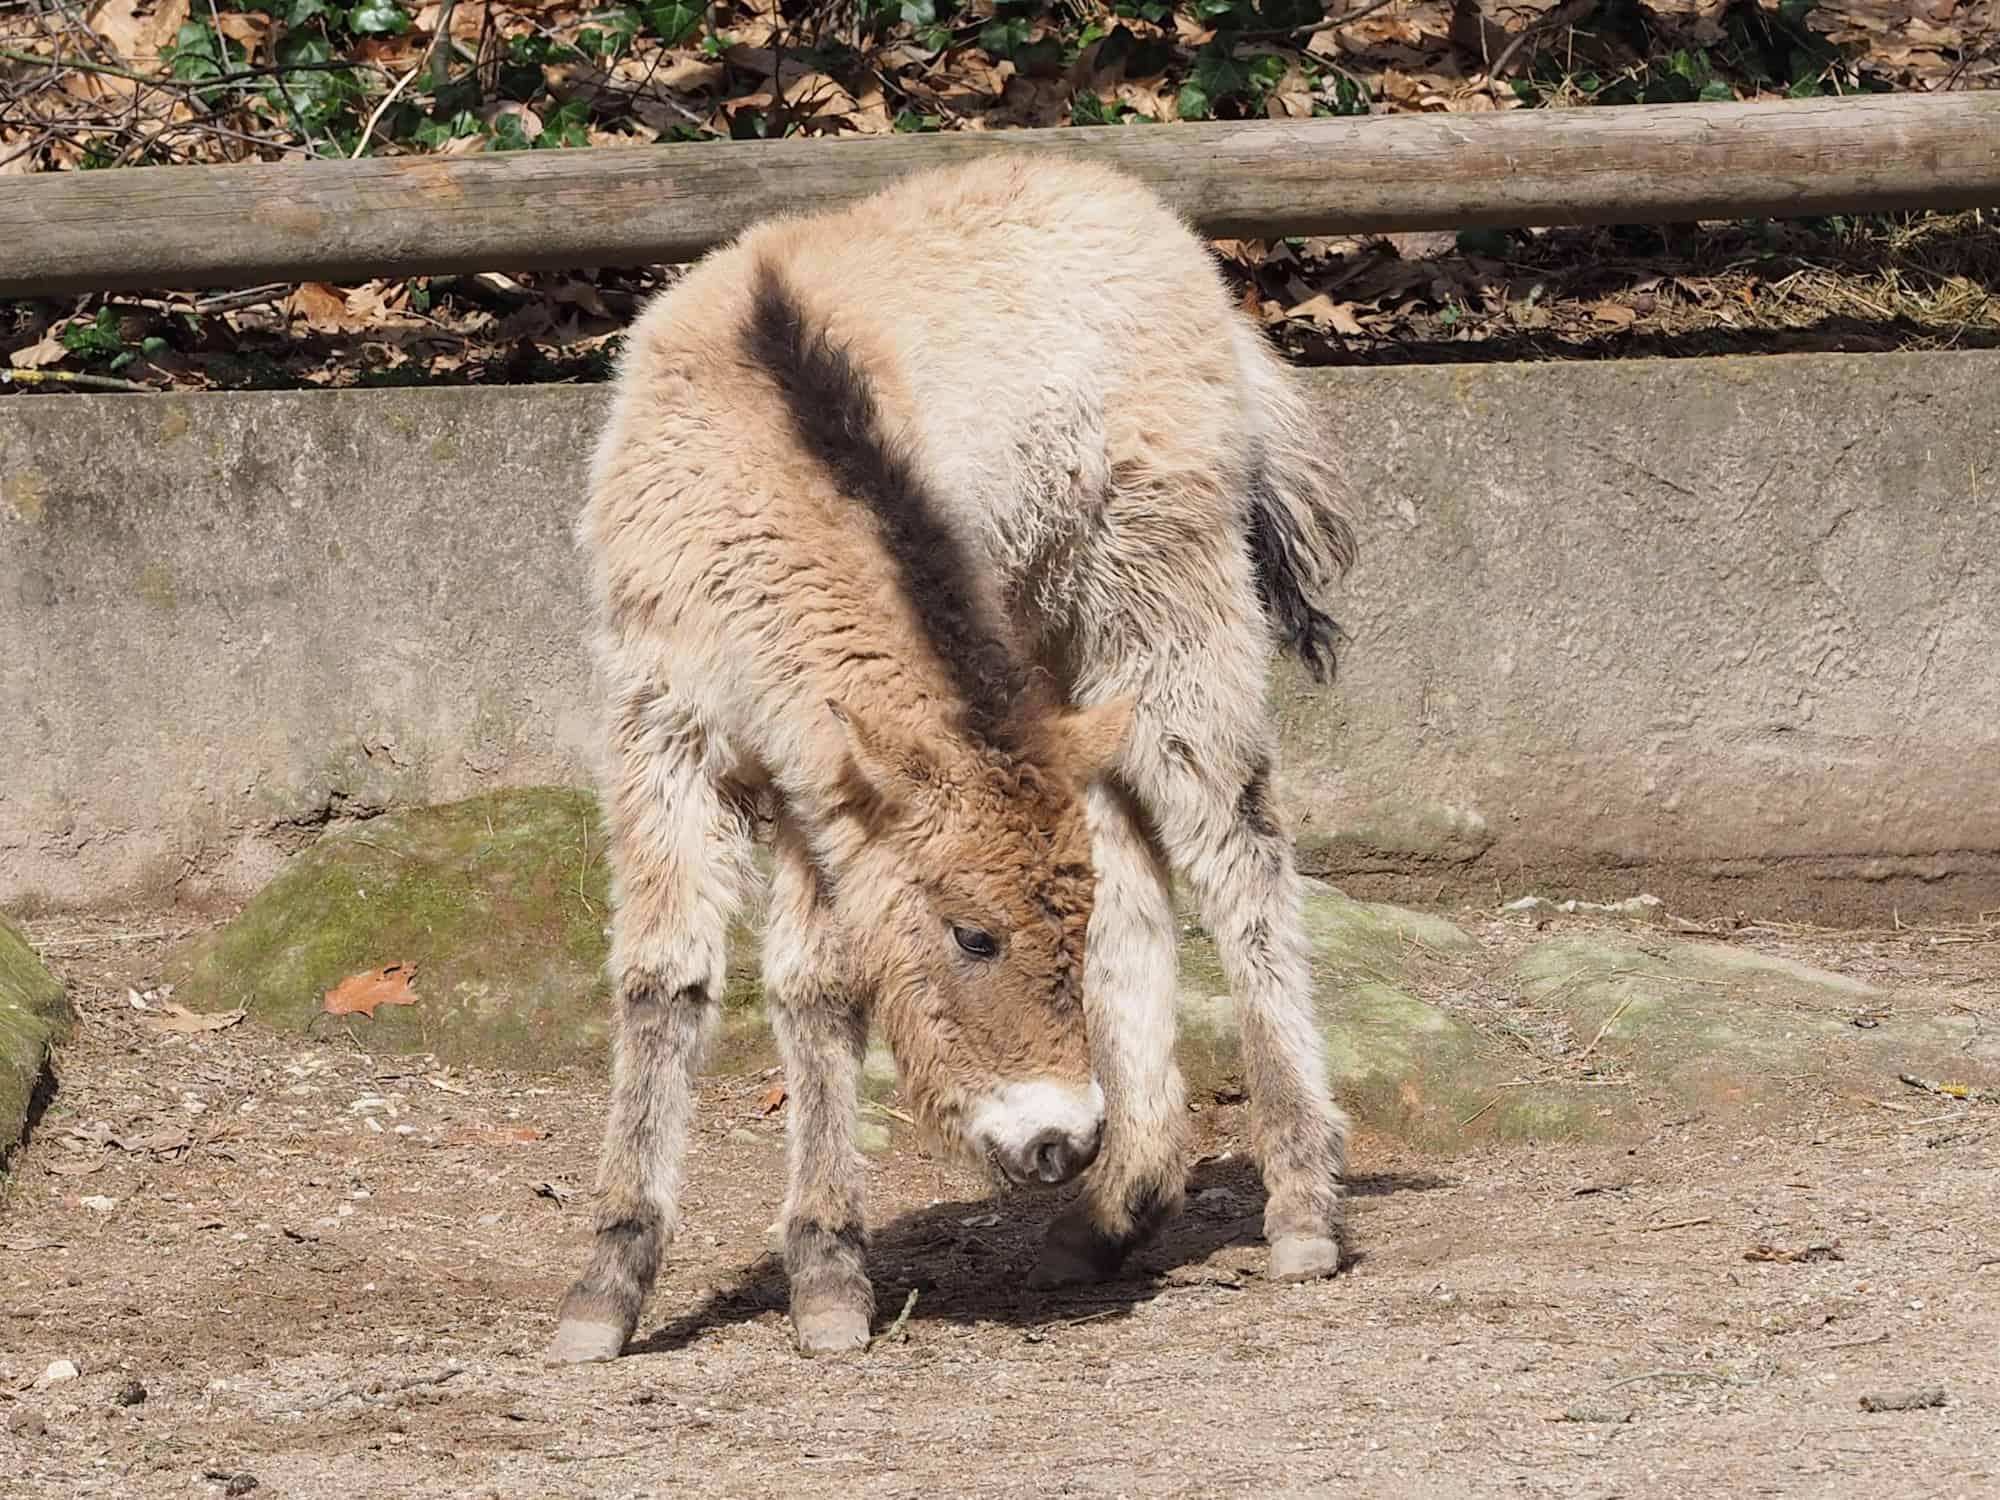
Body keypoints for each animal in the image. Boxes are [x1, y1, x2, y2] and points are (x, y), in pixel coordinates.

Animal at [548, 153, 1360, 1360]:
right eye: (974, 937)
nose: (1059, 1142)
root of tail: (1141, 210)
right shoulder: (669, 734)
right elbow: (663, 979)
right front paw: (609, 1282)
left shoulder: (819, 778)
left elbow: (817, 988)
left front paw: (827, 1275)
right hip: (1053, 662)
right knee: (1135, 873)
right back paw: (1115, 1214)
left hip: (1164, 613)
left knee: (1238, 859)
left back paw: (1299, 1211)